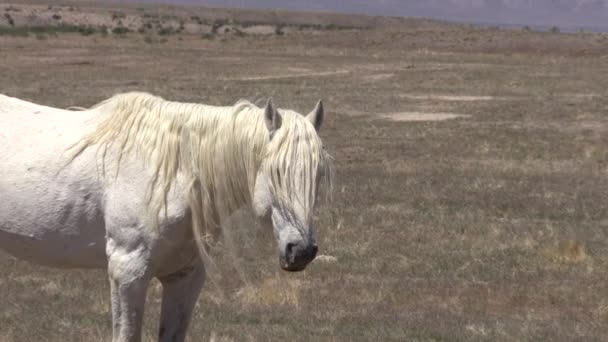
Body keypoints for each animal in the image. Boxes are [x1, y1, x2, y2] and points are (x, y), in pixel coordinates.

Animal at [0, 92, 332, 340]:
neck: (174, 174)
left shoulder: (185, 276)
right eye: (275, 171)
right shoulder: (127, 272)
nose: (301, 251)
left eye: (318, 173)